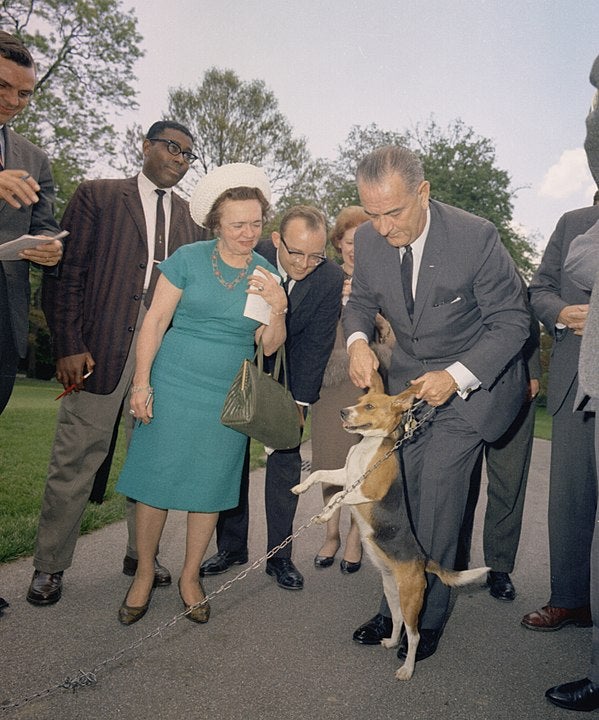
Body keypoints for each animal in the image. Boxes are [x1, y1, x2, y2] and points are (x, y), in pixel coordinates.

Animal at [292, 372, 490, 680]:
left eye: (370, 406)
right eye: (359, 399)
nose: (343, 412)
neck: (369, 446)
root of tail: (423, 559)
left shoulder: (366, 491)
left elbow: (337, 497)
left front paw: (324, 515)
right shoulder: (345, 475)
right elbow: (320, 474)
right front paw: (301, 488)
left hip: (411, 599)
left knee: (415, 635)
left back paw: (407, 668)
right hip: (392, 591)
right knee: (396, 621)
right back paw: (390, 640)